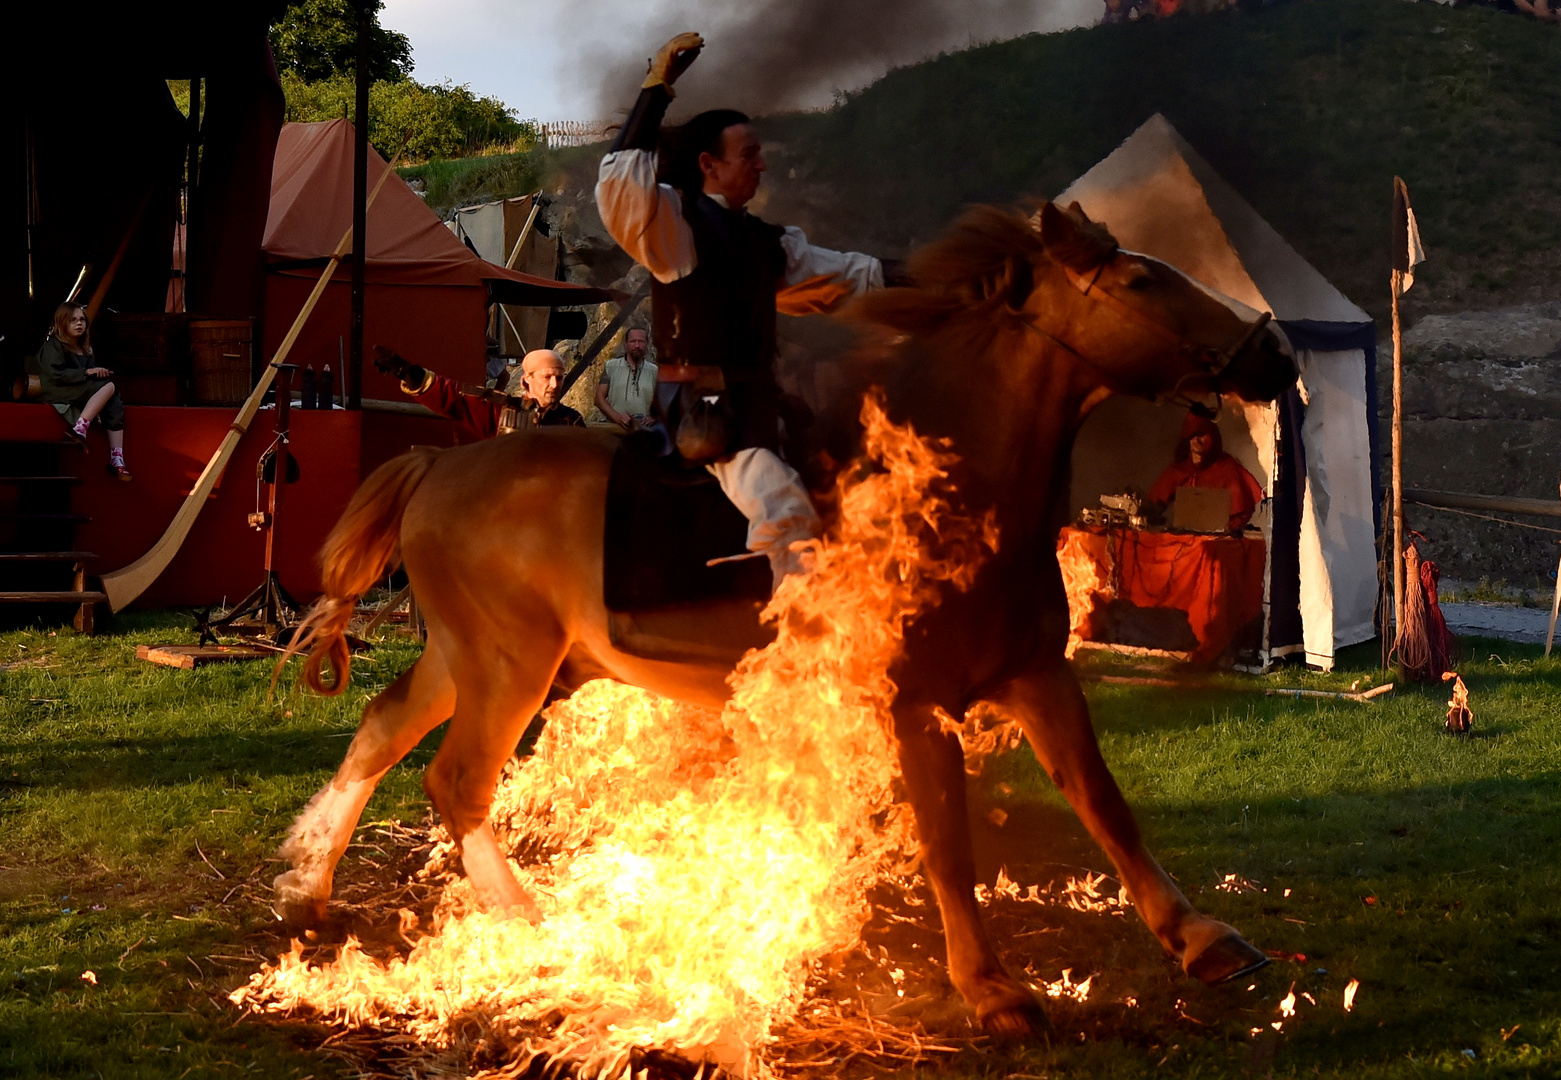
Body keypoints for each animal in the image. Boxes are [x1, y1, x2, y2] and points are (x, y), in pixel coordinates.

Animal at [277, 202, 1292, 1036]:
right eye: (1139, 280)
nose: (1273, 353)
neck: (961, 490)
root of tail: (438, 464)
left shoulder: (1039, 677)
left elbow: (1106, 807)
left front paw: (1199, 935)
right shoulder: (915, 707)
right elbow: (947, 840)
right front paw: (991, 987)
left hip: (469, 658)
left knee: (381, 729)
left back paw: (308, 885)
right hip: (506, 666)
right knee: (455, 781)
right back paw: (523, 915)